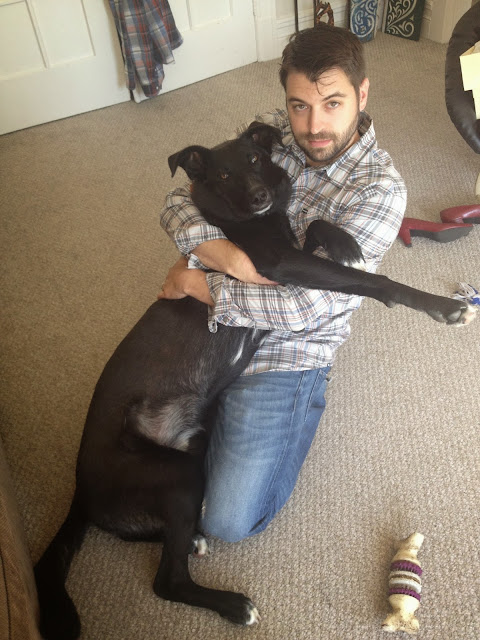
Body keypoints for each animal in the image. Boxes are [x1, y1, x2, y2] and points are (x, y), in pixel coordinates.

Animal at [34, 123, 475, 640]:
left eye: (255, 159)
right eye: (223, 173)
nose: (261, 195)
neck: (251, 220)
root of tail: (79, 494)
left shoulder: (290, 260)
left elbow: (316, 228)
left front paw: (343, 240)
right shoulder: (277, 265)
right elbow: (372, 280)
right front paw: (442, 307)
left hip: (192, 457)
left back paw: (195, 541)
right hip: (176, 476)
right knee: (167, 582)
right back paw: (232, 604)